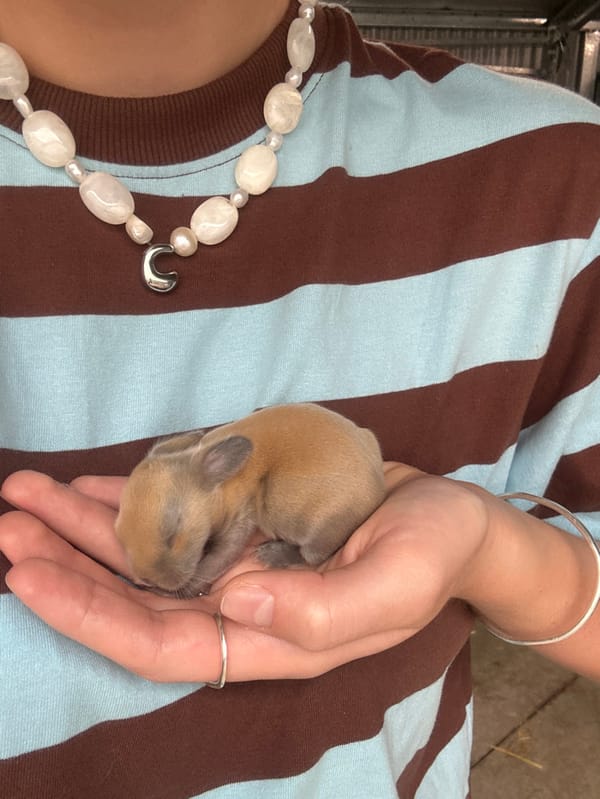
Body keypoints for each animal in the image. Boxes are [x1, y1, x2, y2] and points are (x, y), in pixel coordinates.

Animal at [114, 403, 386, 596]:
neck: (221, 483)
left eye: (172, 536)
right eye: (119, 533)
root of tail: (379, 490)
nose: (145, 579)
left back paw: (270, 555)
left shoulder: (240, 518)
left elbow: (217, 561)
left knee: (314, 555)